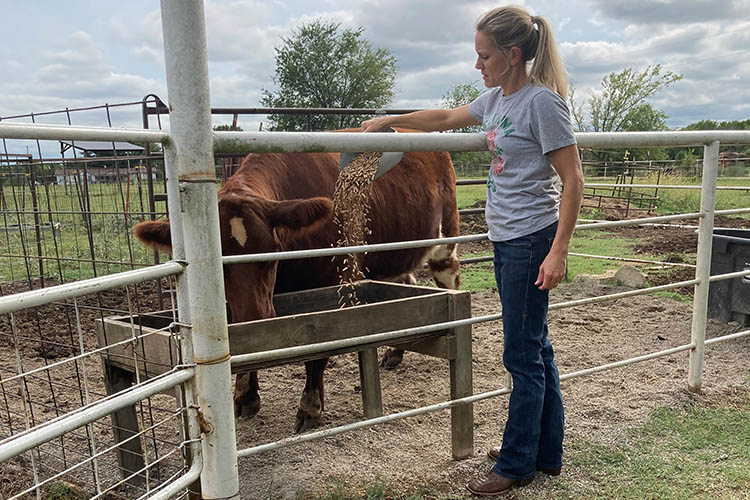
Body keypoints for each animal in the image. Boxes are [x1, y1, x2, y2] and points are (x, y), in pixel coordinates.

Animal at [137, 131, 462, 432]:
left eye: (273, 253)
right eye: (218, 265)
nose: (258, 316)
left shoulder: (335, 283)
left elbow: (316, 352)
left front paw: (310, 407)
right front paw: (245, 395)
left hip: (445, 240)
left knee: (449, 277)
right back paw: (394, 353)